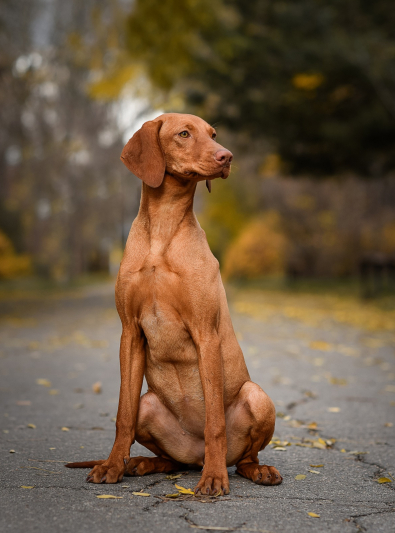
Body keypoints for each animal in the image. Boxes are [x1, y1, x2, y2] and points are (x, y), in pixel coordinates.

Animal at [65, 112, 282, 494]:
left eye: (213, 134)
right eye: (184, 133)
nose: (227, 156)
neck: (163, 229)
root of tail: (194, 456)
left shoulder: (206, 333)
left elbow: (214, 422)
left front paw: (214, 478)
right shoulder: (129, 333)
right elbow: (122, 415)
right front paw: (112, 465)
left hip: (256, 396)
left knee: (244, 458)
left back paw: (250, 470)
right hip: (149, 403)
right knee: (169, 459)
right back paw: (140, 463)